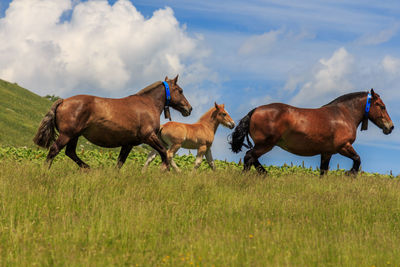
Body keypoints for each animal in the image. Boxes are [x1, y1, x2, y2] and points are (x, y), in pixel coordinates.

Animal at [32, 75, 192, 171]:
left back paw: (88, 168)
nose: (189, 109)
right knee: (54, 150)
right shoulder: (149, 136)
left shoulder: (128, 144)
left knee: (70, 152)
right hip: (67, 135)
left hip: (74, 136)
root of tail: (63, 101)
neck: (147, 104)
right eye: (180, 90)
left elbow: (120, 163)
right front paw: (165, 170)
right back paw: (46, 171)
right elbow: (164, 153)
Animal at [231, 90, 394, 176]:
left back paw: (264, 174)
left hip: (263, 145)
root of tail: (255, 111)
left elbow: (323, 171)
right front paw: (350, 174)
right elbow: (357, 159)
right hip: (266, 144)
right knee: (249, 157)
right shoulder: (343, 146)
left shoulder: (327, 152)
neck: (344, 114)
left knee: (252, 158)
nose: (390, 127)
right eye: (381, 106)